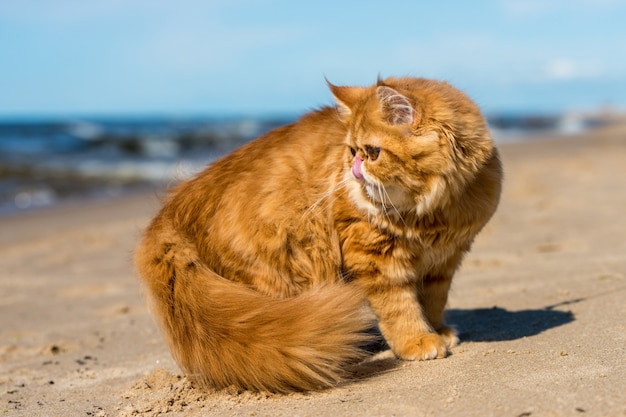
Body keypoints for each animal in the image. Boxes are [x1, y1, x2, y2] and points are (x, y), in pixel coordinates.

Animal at [134, 76, 500, 392]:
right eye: (352, 151)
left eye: (372, 152)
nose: (354, 172)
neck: (431, 213)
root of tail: (170, 213)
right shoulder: (374, 257)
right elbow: (400, 307)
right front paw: (418, 341)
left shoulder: (443, 262)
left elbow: (433, 302)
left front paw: (437, 330)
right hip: (283, 273)